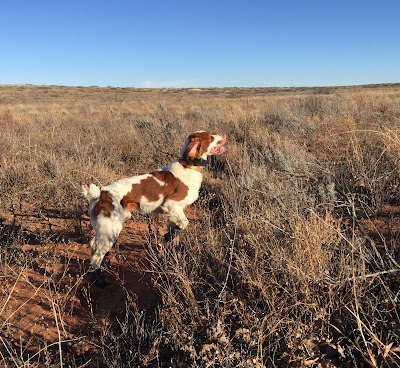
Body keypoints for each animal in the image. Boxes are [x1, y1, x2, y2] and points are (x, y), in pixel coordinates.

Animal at [82, 131, 225, 288]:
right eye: (211, 137)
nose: (224, 135)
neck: (189, 166)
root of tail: (100, 192)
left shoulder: (173, 213)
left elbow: (176, 231)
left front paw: (172, 248)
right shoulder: (171, 204)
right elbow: (184, 223)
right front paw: (167, 237)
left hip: (103, 228)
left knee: (93, 244)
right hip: (111, 230)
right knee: (96, 257)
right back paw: (99, 279)